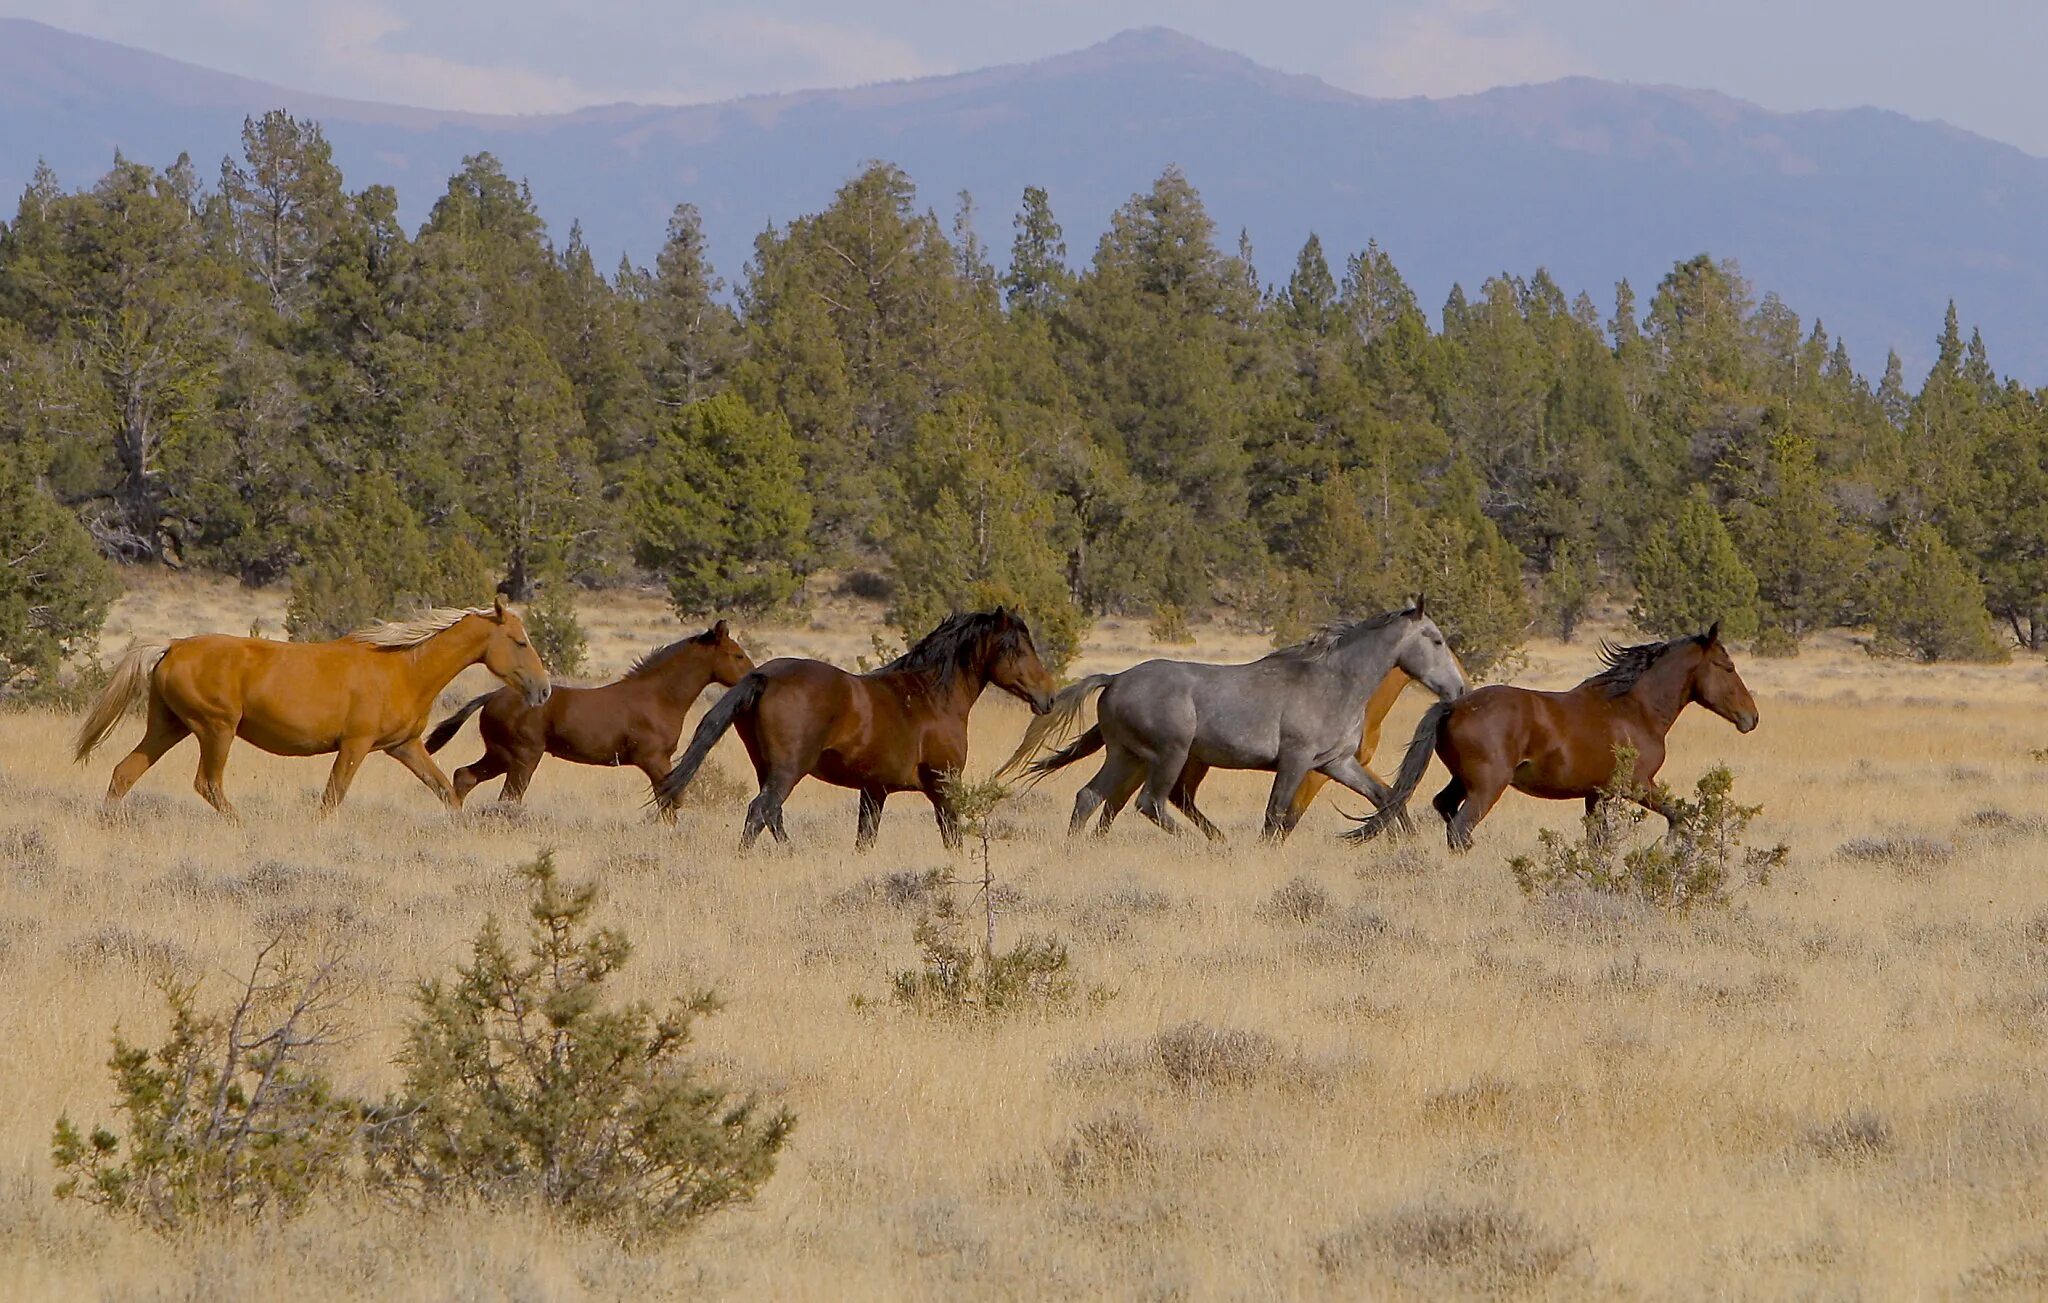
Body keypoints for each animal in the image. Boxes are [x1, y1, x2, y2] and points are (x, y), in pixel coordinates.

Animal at [74, 598, 552, 819]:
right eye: (520, 641)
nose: (545, 690)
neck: (404, 667)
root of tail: (171, 646)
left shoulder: (405, 746)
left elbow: (446, 792)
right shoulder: (355, 746)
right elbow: (332, 798)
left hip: (169, 727)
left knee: (124, 773)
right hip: (215, 729)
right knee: (207, 784)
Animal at [423, 618, 753, 819]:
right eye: (737, 655)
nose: (754, 675)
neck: (659, 697)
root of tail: (491, 697)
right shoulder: (654, 759)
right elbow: (670, 800)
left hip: (500, 755)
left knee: (464, 776)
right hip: (522, 756)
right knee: (507, 797)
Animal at [651, 606, 1056, 848]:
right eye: (1018, 649)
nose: (1048, 697)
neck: (930, 695)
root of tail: (765, 676)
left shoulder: (874, 791)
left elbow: (865, 839)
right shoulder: (943, 785)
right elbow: (952, 836)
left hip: (768, 769)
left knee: (773, 816)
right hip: (788, 771)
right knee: (759, 812)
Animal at [999, 602, 1466, 839]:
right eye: (1436, 640)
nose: (1460, 690)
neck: (1334, 682)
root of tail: (1115, 678)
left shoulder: (1337, 763)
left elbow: (1385, 796)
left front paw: (1402, 842)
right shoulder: (1296, 761)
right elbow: (1276, 815)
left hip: (1125, 755)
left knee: (1090, 797)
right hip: (1169, 755)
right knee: (1150, 803)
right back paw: (1207, 845)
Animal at [1343, 622, 1761, 856]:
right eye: (1727, 667)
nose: (1751, 718)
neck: (1633, 709)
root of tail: (1454, 705)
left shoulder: (1596, 795)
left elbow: (1597, 843)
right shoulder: (1637, 785)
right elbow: (1679, 816)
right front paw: (1673, 847)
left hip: (1463, 780)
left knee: (1445, 810)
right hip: (1487, 786)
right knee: (1460, 828)